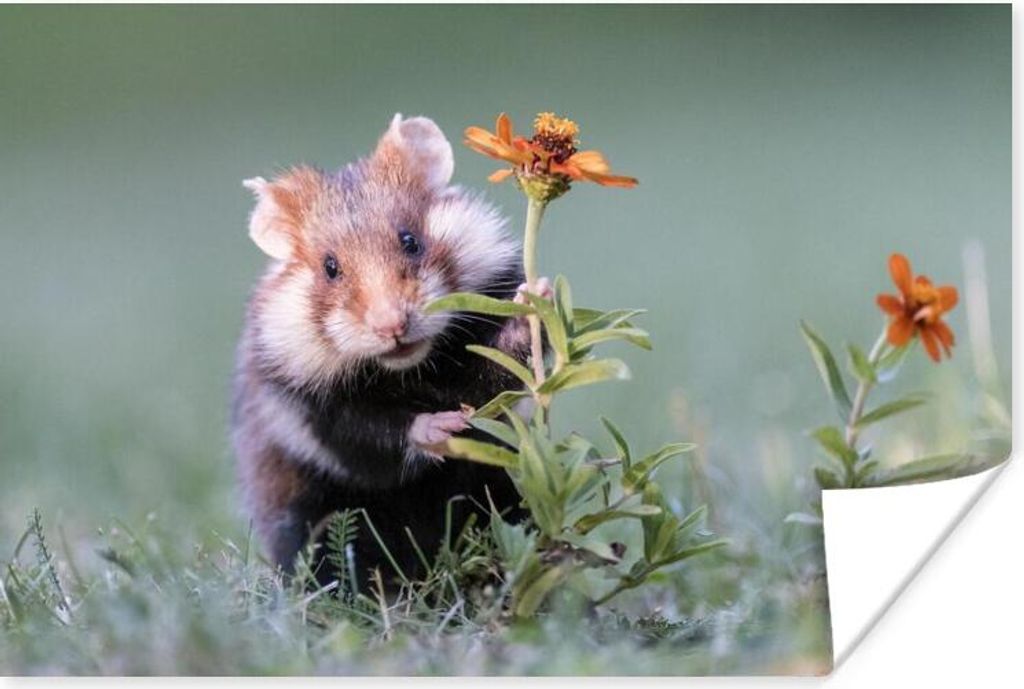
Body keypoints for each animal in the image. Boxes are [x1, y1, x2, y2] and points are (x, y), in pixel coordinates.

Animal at [232, 115, 537, 588]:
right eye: (330, 268)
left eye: (410, 240)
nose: (392, 326)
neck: (411, 370)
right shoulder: (308, 412)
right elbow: (373, 431)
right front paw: (443, 427)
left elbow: (494, 373)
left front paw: (538, 298)